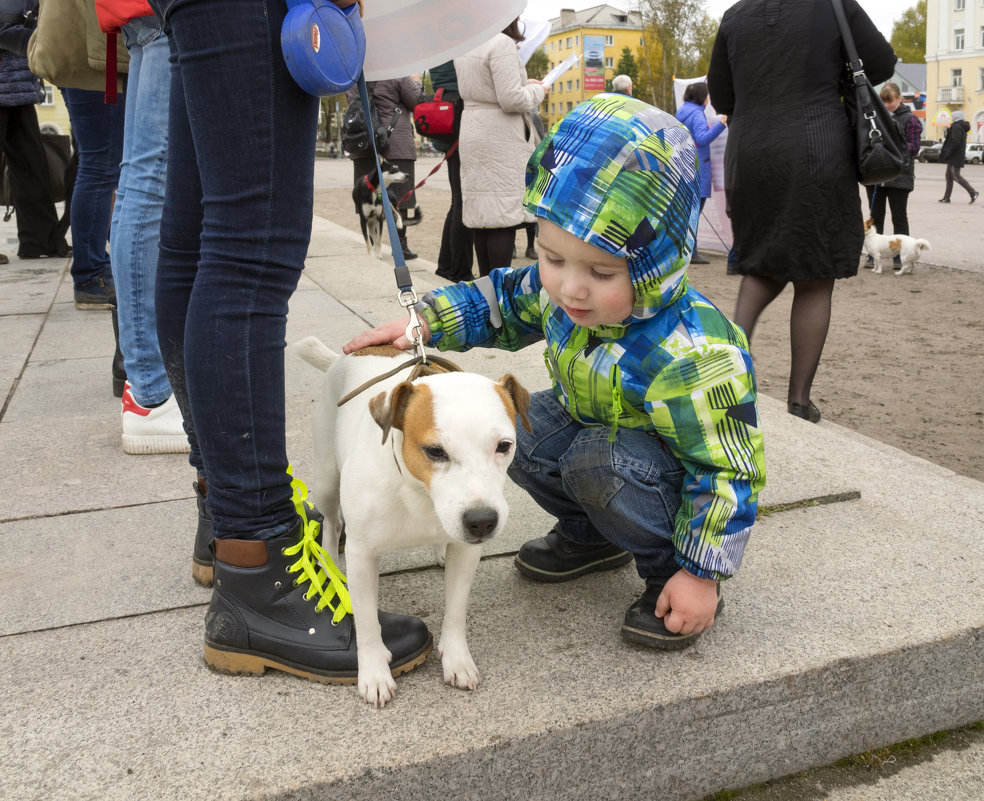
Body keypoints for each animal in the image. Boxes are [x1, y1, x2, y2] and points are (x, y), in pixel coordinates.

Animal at [292, 338, 532, 708]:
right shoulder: (363, 556)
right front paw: (374, 673)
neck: (419, 491)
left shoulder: (467, 552)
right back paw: (330, 561)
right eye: (435, 451)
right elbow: (367, 622)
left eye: (504, 446)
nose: (481, 522)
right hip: (327, 479)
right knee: (331, 525)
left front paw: (457, 659)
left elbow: (456, 609)